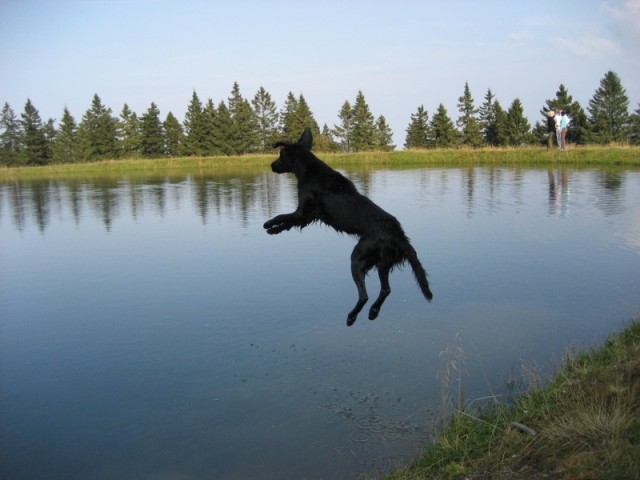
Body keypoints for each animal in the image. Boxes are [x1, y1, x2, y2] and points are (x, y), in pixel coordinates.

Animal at [262, 127, 432, 326]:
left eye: (280, 155)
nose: (271, 165)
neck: (309, 169)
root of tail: (399, 235)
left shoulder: (302, 212)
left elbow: (281, 217)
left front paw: (270, 225)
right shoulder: (308, 216)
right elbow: (287, 223)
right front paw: (275, 229)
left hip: (358, 258)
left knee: (364, 295)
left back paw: (352, 316)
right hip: (382, 263)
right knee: (386, 290)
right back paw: (373, 312)